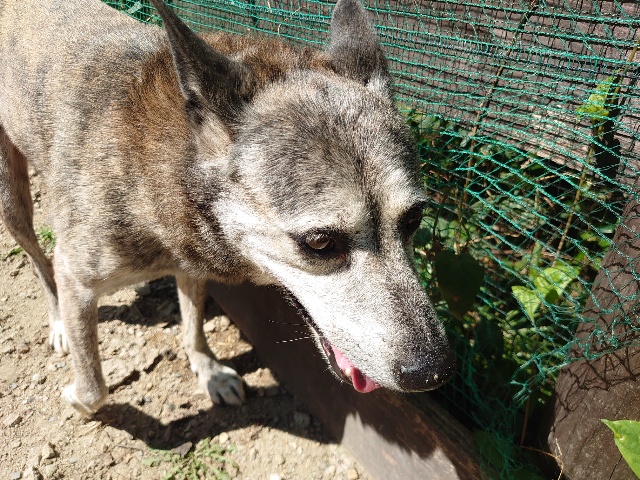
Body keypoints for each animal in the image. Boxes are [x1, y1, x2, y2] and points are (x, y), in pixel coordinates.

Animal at [0, 0, 454, 416]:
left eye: (414, 219)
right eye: (320, 243)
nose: (433, 373)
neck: (167, 166)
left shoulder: (189, 267)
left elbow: (193, 326)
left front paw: (208, 371)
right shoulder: (76, 278)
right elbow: (95, 388)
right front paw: (77, 398)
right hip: (13, 206)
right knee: (37, 258)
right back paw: (59, 324)